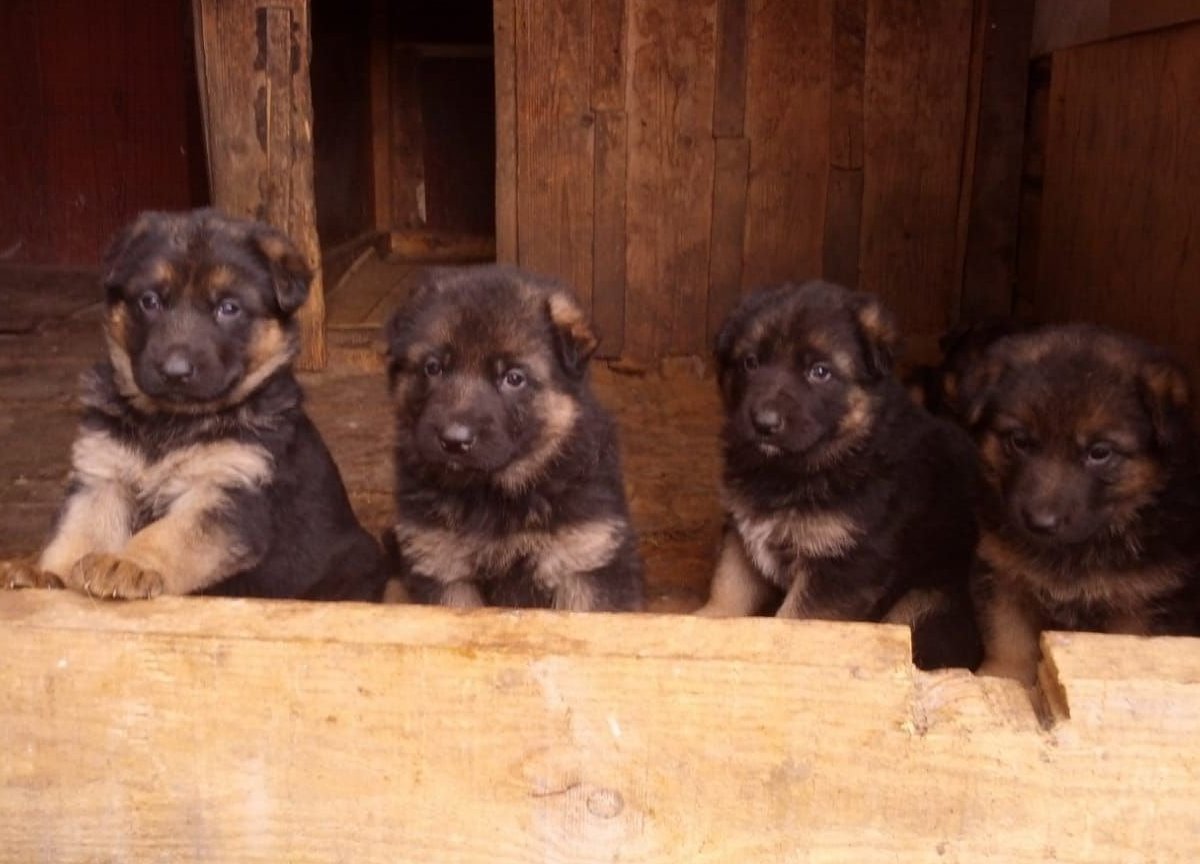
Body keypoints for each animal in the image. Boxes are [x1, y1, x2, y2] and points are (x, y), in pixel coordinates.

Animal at [1, 208, 384, 600]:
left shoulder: (227, 492)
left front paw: (128, 563)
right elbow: (77, 531)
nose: (175, 371)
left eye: (228, 308)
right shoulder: (102, 475)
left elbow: (168, 535)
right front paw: (47, 574)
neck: (170, 421)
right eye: (150, 301)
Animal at [386, 266, 648, 612]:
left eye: (513, 378)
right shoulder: (444, 568)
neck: (495, 496)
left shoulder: (585, 561)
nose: (454, 441)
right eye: (433, 368)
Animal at [696, 279, 984, 672]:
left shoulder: (843, 566)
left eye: (820, 372)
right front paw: (701, 622)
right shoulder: (742, 535)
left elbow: (797, 622)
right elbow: (728, 590)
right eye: (750, 363)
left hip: (924, 600)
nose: (764, 424)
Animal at [960, 324, 1200, 681]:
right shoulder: (1002, 576)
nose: (1040, 522)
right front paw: (1000, 679)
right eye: (1019, 441)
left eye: (1099, 452)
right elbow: (1008, 641)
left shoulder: (1139, 606)